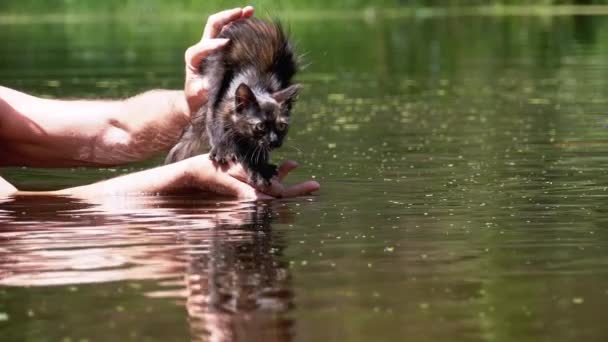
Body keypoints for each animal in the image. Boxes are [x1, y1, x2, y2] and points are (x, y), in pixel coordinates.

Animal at [165, 17, 300, 188]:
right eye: (260, 126)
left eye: (282, 126)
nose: (275, 141)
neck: (257, 85)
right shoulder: (221, 106)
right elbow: (219, 124)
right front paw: (226, 150)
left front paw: (260, 166)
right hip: (217, 67)